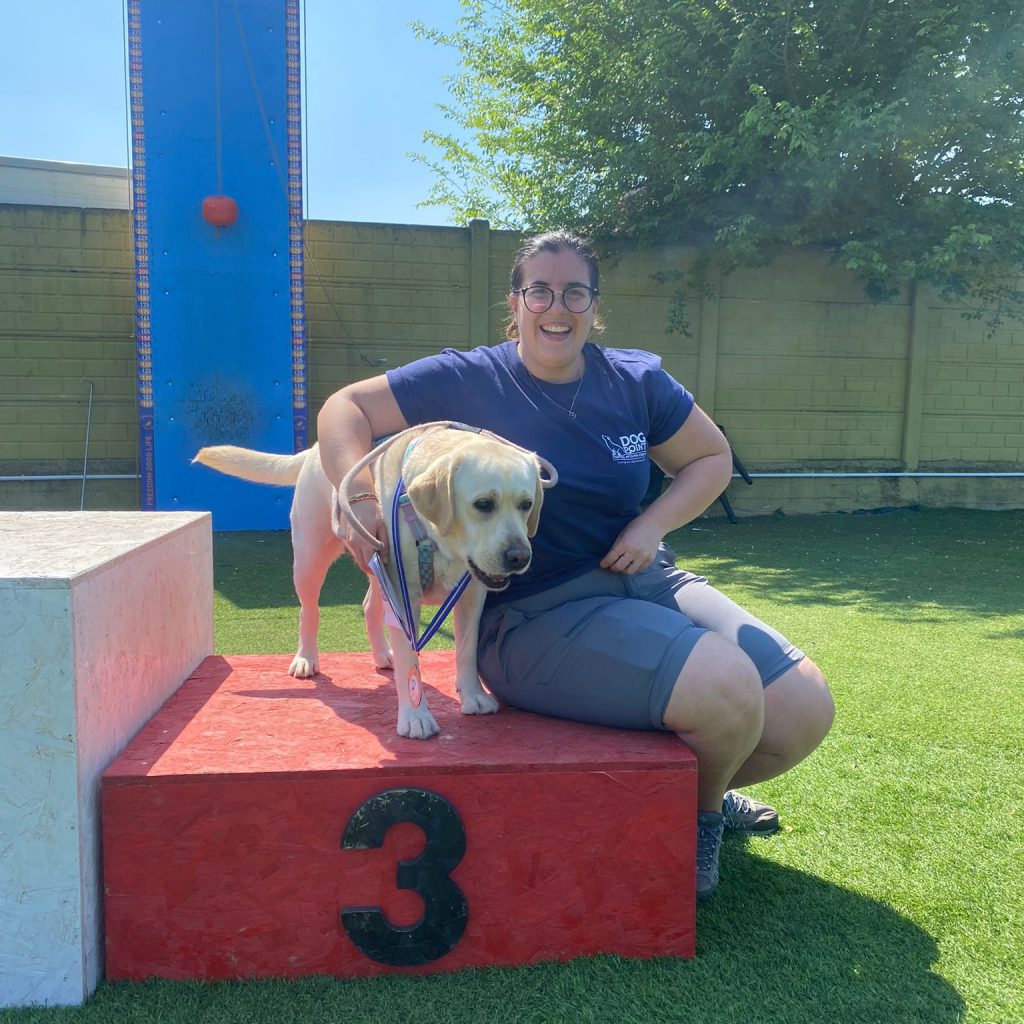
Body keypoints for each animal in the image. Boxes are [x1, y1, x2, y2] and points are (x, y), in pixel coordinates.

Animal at [193, 424, 555, 739]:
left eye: (526, 504)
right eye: (483, 504)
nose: (519, 557)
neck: (438, 538)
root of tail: (313, 450)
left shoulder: (471, 594)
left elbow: (465, 648)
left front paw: (472, 695)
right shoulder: (403, 592)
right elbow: (411, 660)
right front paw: (416, 716)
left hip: (376, 565)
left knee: (368, 607)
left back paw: (383, 655)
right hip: (311, 560)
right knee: (309, 611)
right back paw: (306, 658)